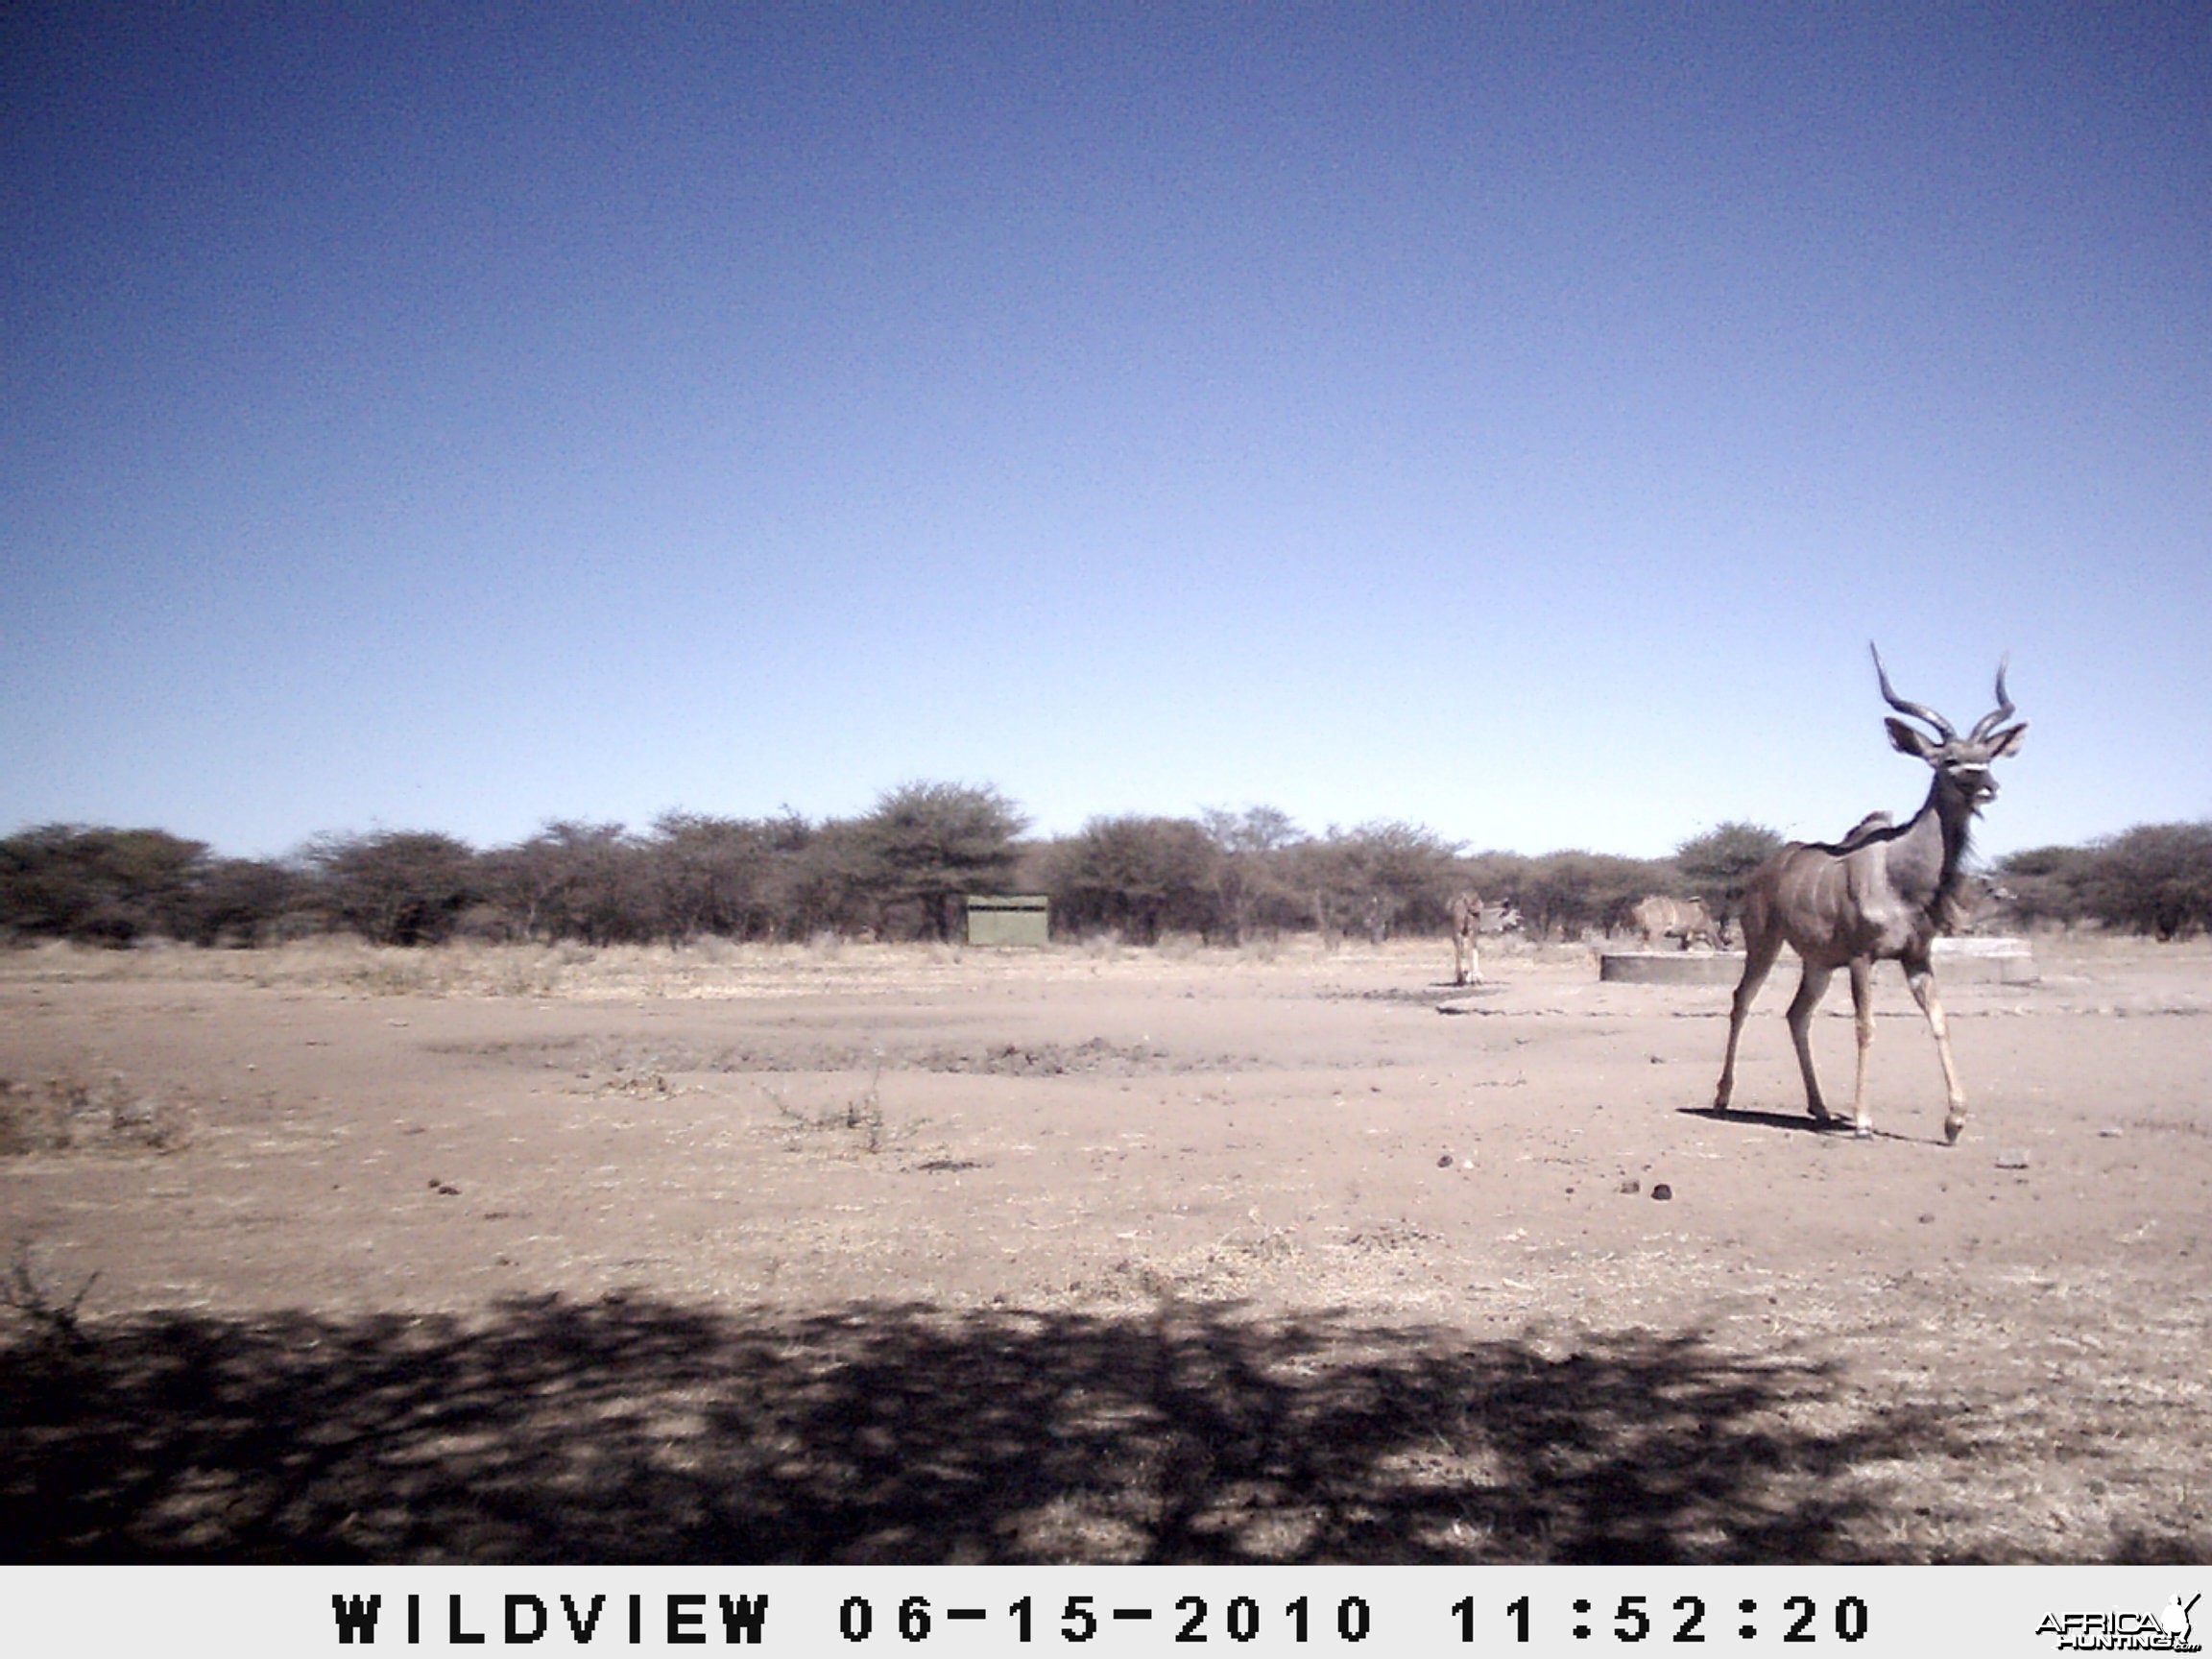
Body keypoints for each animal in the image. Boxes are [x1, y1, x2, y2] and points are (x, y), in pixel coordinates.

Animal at [1707, 645, 2034, 1141]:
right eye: (1948, 760)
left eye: (1987, 757)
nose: (1988, 787)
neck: (1903, 877)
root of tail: (1767, 869)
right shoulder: (1863, 957)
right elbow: (1865, 1025)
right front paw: (1862, 1118)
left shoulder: (1917, 958)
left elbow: (1939, 1020)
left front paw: (1955, 1120)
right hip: (1764, 943)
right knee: (1742, 1000)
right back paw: (1724, 1097)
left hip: (1819, 963)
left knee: (1797, 1013)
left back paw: (1820, 1108)